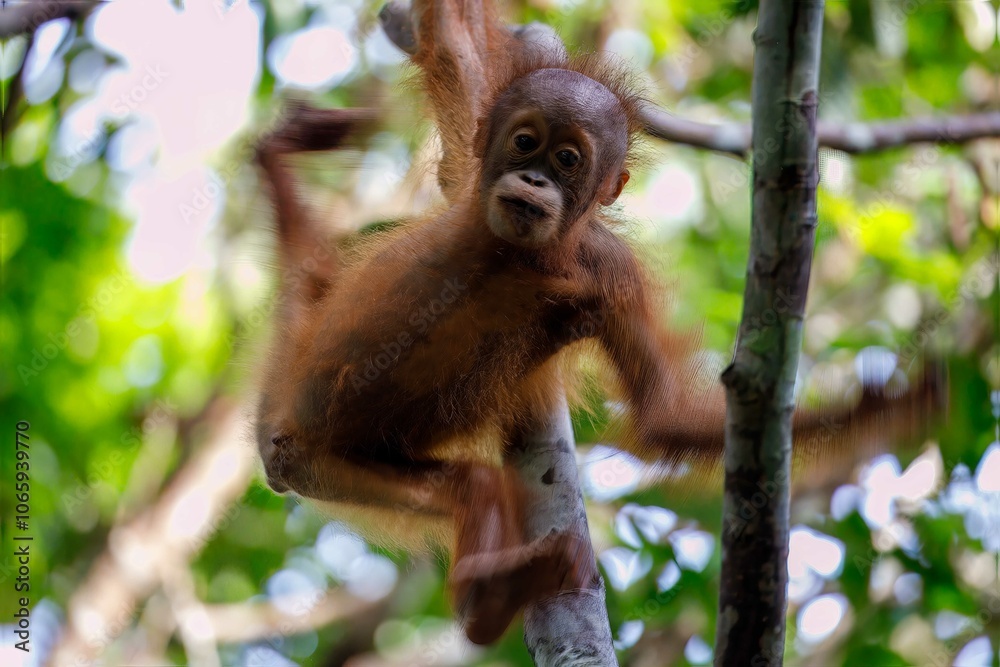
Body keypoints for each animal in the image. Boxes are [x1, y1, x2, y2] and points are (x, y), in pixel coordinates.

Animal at [251, 2, 942, 646]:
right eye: (524, 142)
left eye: (567, 159)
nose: (532, 178)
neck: (514, 255)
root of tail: (280, 450)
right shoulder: (471, 176)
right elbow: (450, 50)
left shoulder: (614, 275)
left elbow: (662, 416)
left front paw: (885, 406)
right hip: (313, 457)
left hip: (347, 470)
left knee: (470, 484)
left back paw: (488, 603)